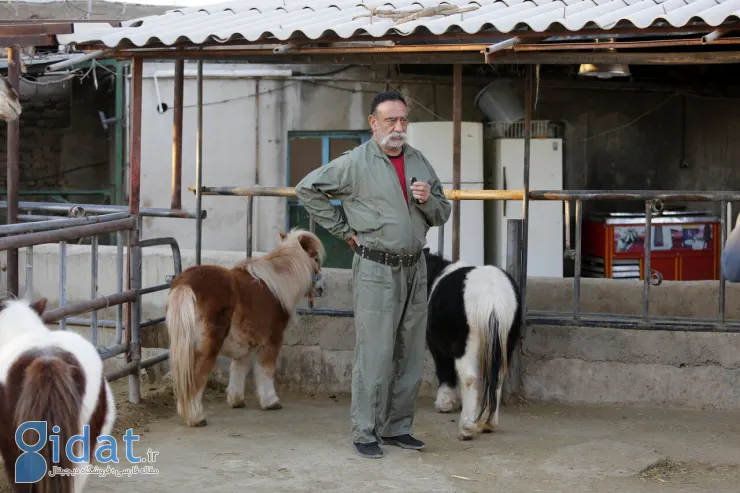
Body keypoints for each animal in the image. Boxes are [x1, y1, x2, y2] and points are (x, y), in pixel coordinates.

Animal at [168, 229, 324, 424]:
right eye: (316, 259)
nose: (321, 288)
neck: (277, 284)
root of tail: (186, 284)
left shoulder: (245, 344)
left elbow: (238, 369)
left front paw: (236, 400)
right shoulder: (272, 340)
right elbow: (266, 371)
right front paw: (270, 401)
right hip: (206, 348)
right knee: (195, 379)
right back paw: (196, 418)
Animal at [422, 248, 520, 440]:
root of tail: (492, 296)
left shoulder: (438, 348)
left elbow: (445, 371)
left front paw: (445, 403)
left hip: (466, 345)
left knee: (469, 377)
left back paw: (467, 426)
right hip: (505, 343)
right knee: (497, 377)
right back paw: (488, 422)